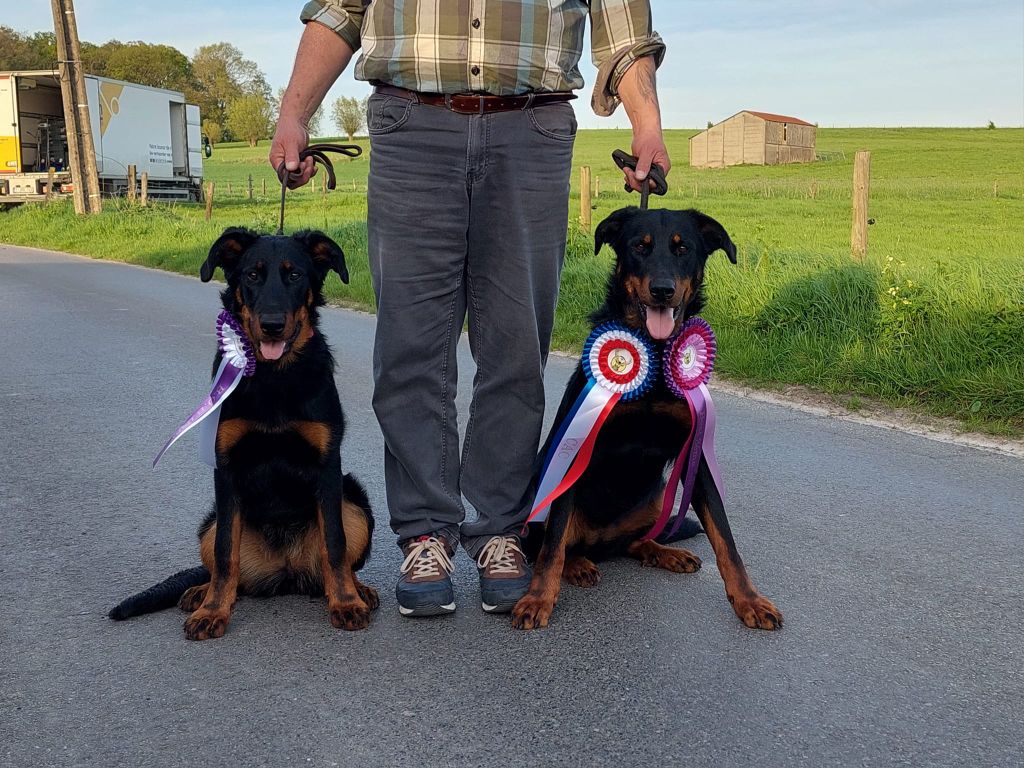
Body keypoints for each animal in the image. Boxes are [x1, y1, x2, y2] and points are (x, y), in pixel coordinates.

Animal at [109, 228, 380, 643]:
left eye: (295, 275)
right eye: (252, 275)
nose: (272, 325)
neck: (274, 376)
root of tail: (286, 568)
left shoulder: (328, 469)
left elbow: (335, 544)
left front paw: (346, 603)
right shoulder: (227, 471)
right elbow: (225, 554)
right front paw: (213, 611)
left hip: (354, 501)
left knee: (338, 559)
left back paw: (357, 589)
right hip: (210, 521)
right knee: (227, 570)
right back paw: (201, 592)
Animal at [512, 207, 782, 634]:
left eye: (683, 249)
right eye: (640, 247)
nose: (662, 290)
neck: (652, 359)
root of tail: (601, 541)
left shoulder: (696, 458)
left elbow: (726, 539)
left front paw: (749, 600)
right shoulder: (574, 452)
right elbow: (553, 544)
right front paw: (539, 598)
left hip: (655, 496)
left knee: (633, 542)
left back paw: (664, 552)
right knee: (551, 543)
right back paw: (579, 564)